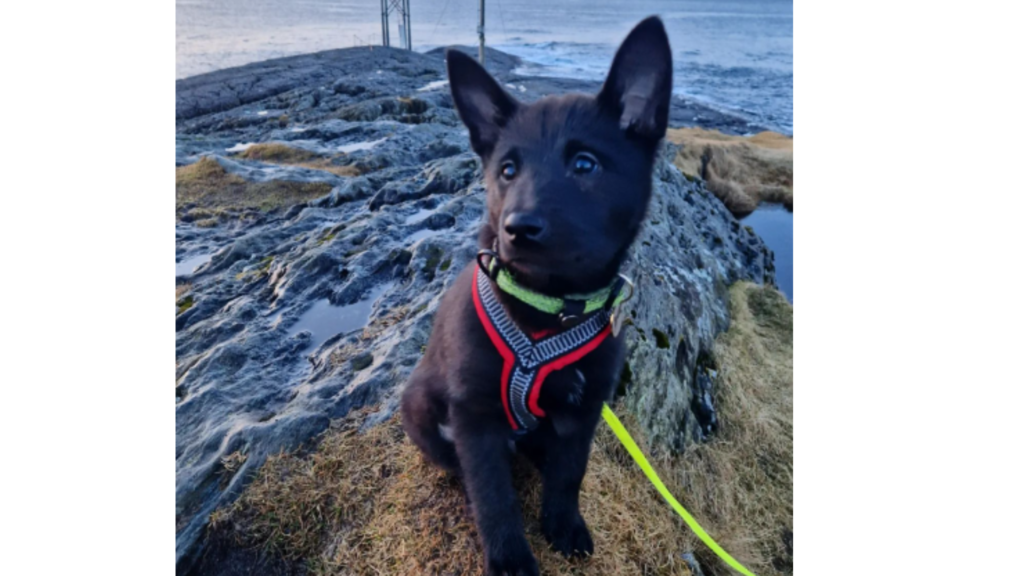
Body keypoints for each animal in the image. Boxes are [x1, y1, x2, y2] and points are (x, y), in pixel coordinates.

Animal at [399, 15, 671, 569]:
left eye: (585, 165)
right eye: (507, 170)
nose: (517, 228)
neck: (547, 310)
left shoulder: (581, 412)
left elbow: (569, 475)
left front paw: (563, 526)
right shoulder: (474, 417)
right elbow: (493, 496)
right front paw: (509, 558)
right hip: (419, 406)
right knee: (459, 463)